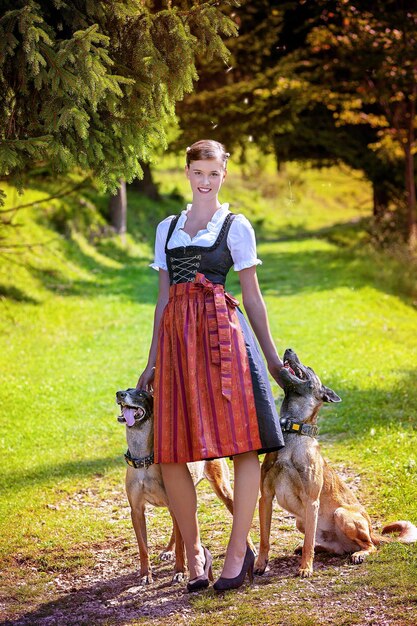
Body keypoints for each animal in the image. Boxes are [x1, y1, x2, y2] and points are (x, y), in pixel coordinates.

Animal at [115, 388, 236, 584]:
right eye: (124, 390)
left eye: (140, 394)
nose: (119, 394)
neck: (143, 460)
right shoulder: (137, 511)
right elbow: (143, 548)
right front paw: (145, 574)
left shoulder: (172, 503)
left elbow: (181, 545)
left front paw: (180, 571)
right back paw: (168, 551)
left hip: (222, 489)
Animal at [254, 346, 416, 576]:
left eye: (309, 368)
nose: (288, 349)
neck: (294, 431)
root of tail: (371, 530)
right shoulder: (266, 497)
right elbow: (265, 539)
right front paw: (260, 564)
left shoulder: (311, 500)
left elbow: (308, 544)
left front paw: (305, 568)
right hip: (301, 522)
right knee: (327, 545)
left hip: (341, 515)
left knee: (370, 546)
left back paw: (359, 554)